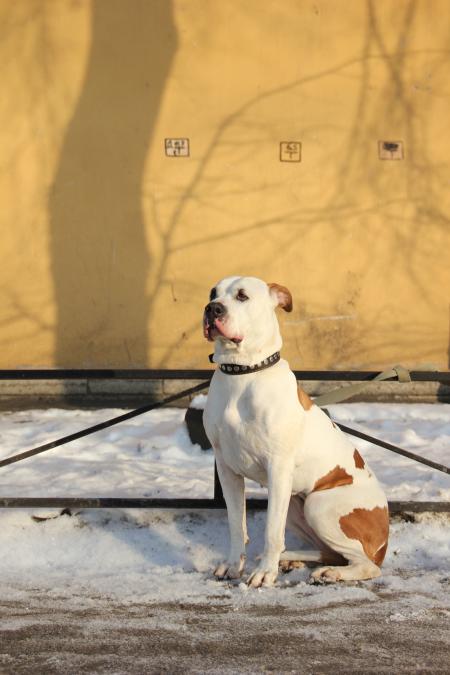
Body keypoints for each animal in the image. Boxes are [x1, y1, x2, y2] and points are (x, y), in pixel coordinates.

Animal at [204, 278, 390, 588]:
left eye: (242, 296)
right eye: (212, 294)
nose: (212, 309)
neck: (242, 373)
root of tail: (384, 541)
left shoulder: (278, 468)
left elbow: (271, 531)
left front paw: (264, 573)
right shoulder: (226, 467)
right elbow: (235, 523)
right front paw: (233, 565)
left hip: (318, 503)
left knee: (367, 565)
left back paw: (331, 573)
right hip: (294, 504)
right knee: (330, 552)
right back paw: (294, 560)